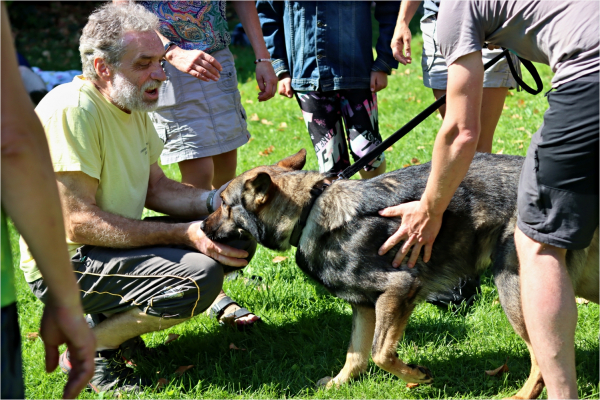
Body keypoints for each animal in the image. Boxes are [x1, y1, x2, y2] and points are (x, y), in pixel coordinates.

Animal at [203, 149, 600, 396]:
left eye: (223, 204)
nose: (202, 229)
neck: (309, 210)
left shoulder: (398, 290)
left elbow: (381, 353)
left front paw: (417, 376)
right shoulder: (364, 306)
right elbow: (356, 354)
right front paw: (338, 385)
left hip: (515, 291)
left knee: (541, 355)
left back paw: (521, 395)